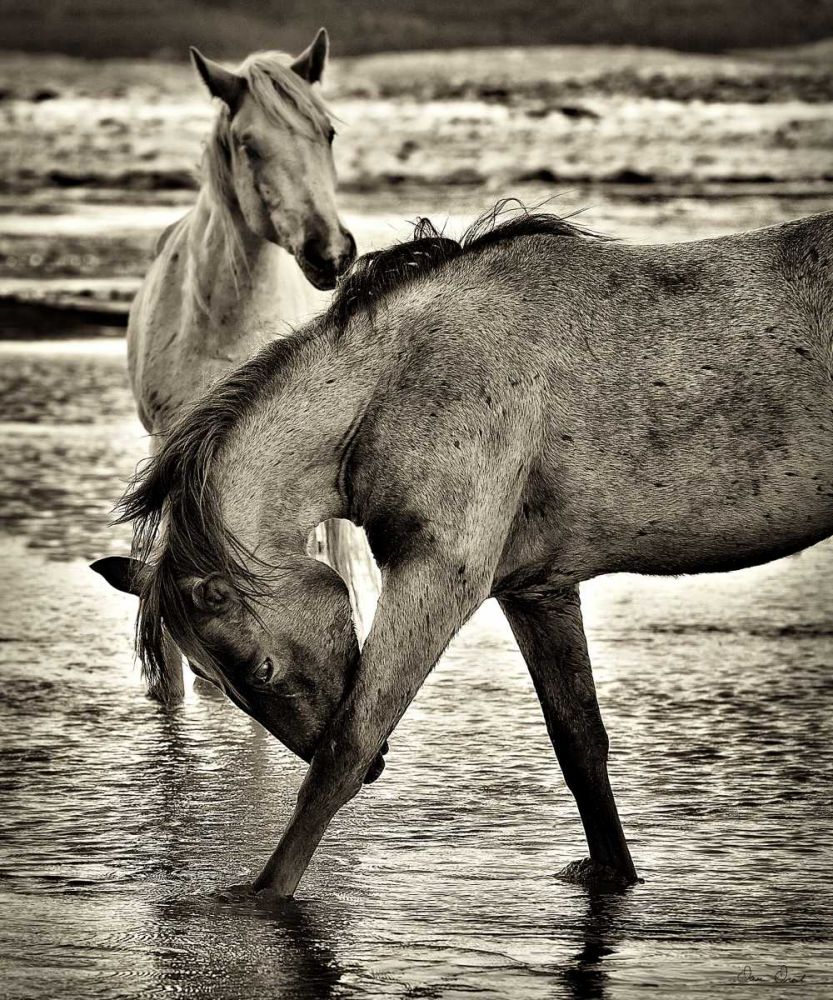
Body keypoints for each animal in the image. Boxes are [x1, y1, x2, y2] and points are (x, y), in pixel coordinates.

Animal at [93, 203, 833, 897]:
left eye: (262, 669)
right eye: (212, 680)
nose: (382, 770)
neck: (399, 381)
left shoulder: (439, 577)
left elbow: (343, 750)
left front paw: (265, 895)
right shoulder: (536, 590)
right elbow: (579, 743)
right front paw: (611, 873)